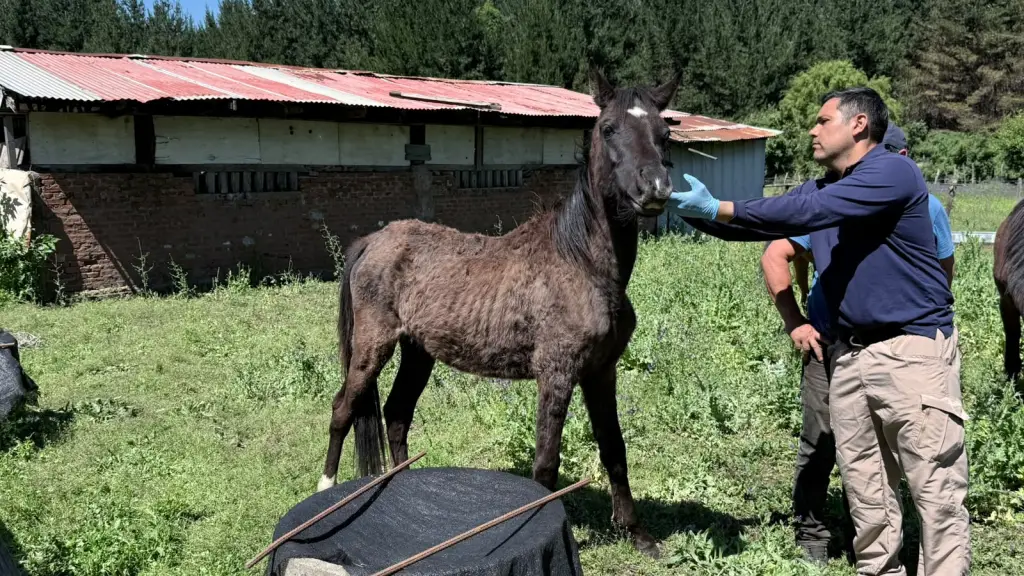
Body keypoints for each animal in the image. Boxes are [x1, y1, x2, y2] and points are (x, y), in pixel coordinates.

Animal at [315, 67, 681, 558]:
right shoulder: (557, 373)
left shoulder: (601, 372)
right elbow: (546, 464)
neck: (581, 263)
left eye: (665, 133)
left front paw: (638, 535)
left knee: (396, 414)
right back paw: (324, 492)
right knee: (343, 409)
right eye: (608, 129)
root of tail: (374, 240)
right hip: (373, 345)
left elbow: (614, 449)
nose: (655, 188)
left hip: (418, 352)